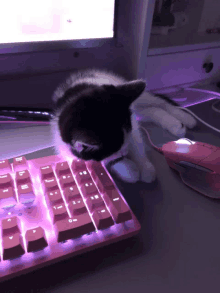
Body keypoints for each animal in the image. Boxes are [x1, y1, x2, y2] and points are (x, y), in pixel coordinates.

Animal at [50, 68, 198, 182]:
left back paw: (185, 118)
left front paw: (145, 168)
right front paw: (130, 170)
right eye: (114, 150)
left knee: (159, 103)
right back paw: (176, 124)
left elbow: (137, 142)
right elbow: (105, 161)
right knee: (151, 111)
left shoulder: (131, 124)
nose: (125, 153)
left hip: (131, 93)